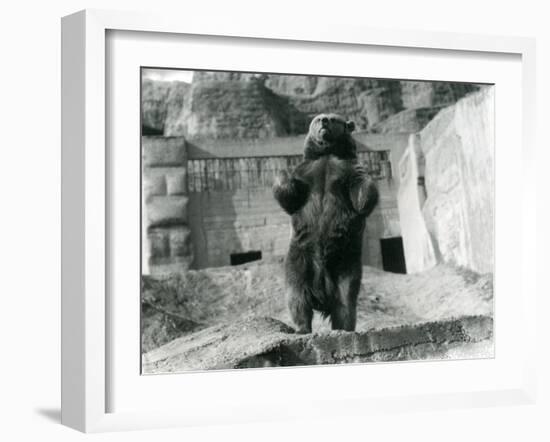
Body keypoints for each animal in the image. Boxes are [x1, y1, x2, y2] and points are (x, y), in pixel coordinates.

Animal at [272, 112, 378, 334]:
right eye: (317, 118)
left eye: (333, 118)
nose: (323, 121)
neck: (328, 153)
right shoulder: (306, 172)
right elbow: (290, 196)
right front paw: (281, 173)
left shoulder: (347, 169)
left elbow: (361, 192)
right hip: (299, 257)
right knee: (296, 295)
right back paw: (302, 327)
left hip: (346, 260)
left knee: (346, 299)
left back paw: (343, 328)